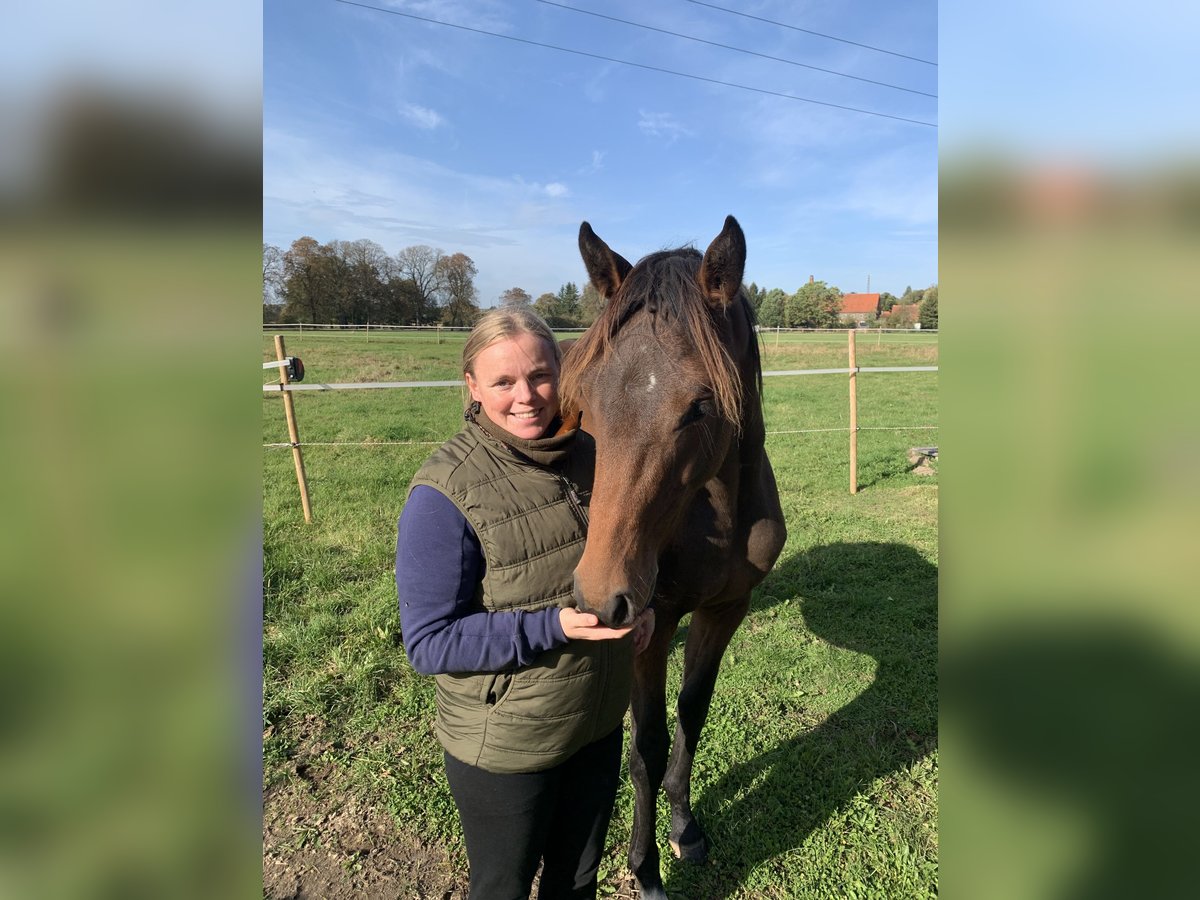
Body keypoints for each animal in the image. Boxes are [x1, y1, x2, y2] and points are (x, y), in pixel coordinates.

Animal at [559, 217, 787, 900]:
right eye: (591, 396)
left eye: (702, 405)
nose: (597, 597)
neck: (715, 518)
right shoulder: (648, 628)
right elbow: (647, 747)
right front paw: (645, 869)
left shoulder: (725, 609)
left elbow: (692, 715)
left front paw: (685, 825)